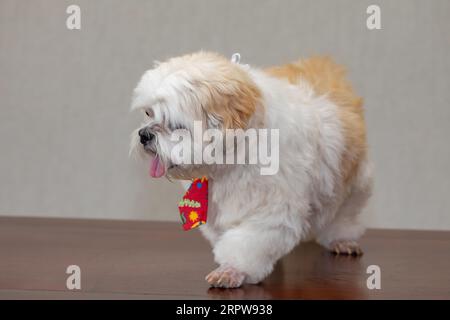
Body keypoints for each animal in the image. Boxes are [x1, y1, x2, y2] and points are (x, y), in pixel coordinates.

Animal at [129, 52, 372, 288]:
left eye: (176, 124)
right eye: (149, 113)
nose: (144, 134)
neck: (235, 155)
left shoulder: (272, 211)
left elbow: (248, 244)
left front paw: (232, 271)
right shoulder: (218, 211)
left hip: (353, 183)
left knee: (345, 215)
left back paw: (341, 239)